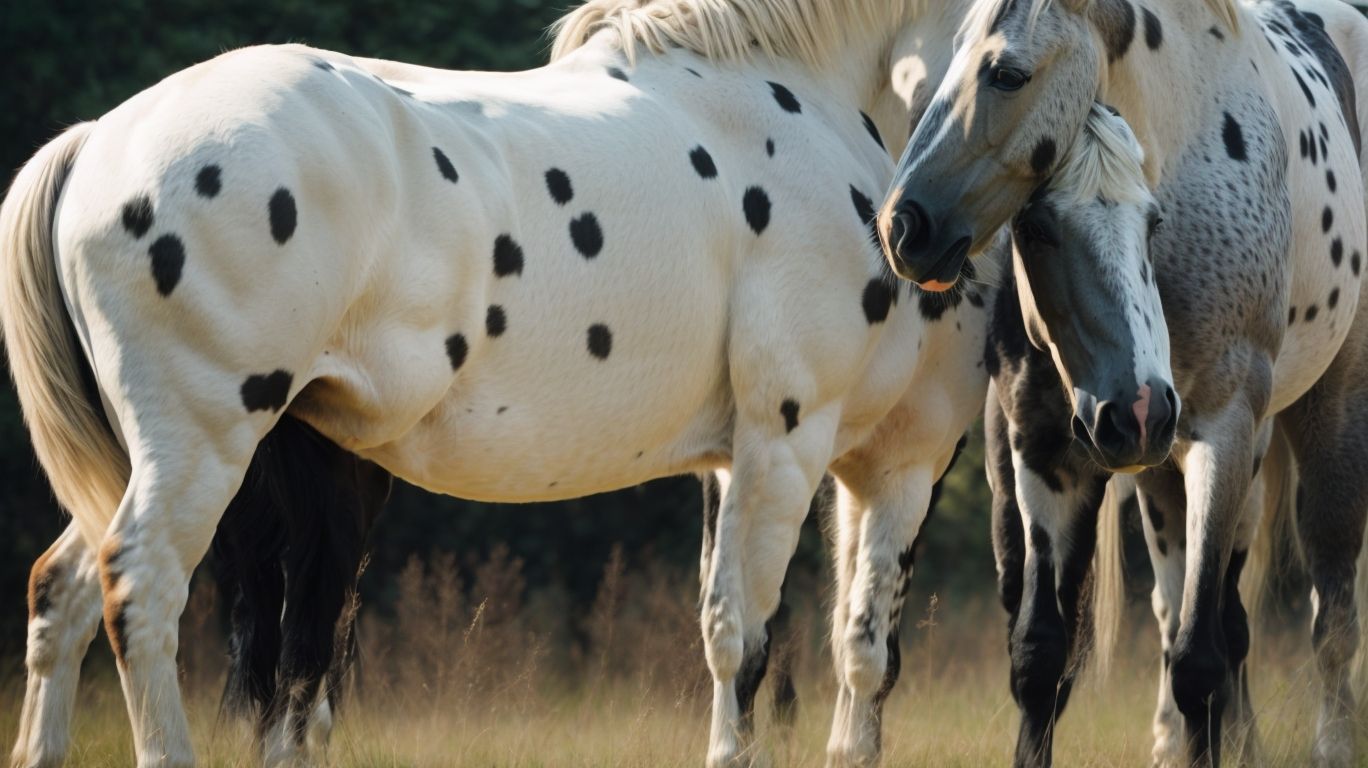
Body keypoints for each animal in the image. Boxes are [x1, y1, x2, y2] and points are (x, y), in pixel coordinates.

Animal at [0, 0, 1001, 764]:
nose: (928, 237)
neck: (812, 98)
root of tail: (99, 144)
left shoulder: (820, 462)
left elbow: (842, 649)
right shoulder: (793, 440)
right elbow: (745, 640)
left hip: (141, 460)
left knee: (62, 593)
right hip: (202, 442)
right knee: (142, 593)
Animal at [879, 0, 1368, 765]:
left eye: (1006, 73)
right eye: (1036, 228)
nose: (904, 223)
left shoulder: (1223, 435)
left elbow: (1199, 659)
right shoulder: (1046, 449)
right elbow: (1042, 657)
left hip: (1325, 422)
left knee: (1332, 619)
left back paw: (1333, 744)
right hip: (1164, 473)